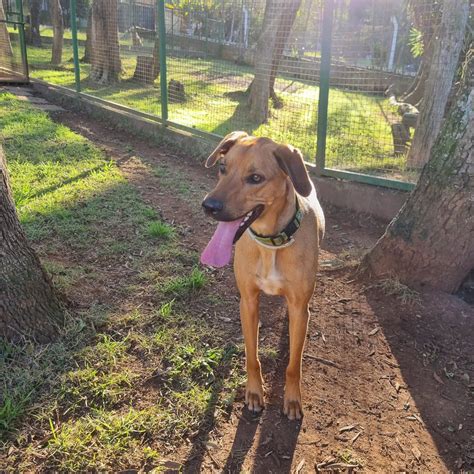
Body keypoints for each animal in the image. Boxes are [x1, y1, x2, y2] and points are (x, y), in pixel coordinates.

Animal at [200, 131, 326, 420]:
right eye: (222, 167)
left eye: (255, 178)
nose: (208, 206)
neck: (271, 242)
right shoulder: (247, 300)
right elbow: (251, 356)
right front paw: (254, 392)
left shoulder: (299, 306)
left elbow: (293, 364)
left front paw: (292, 399)